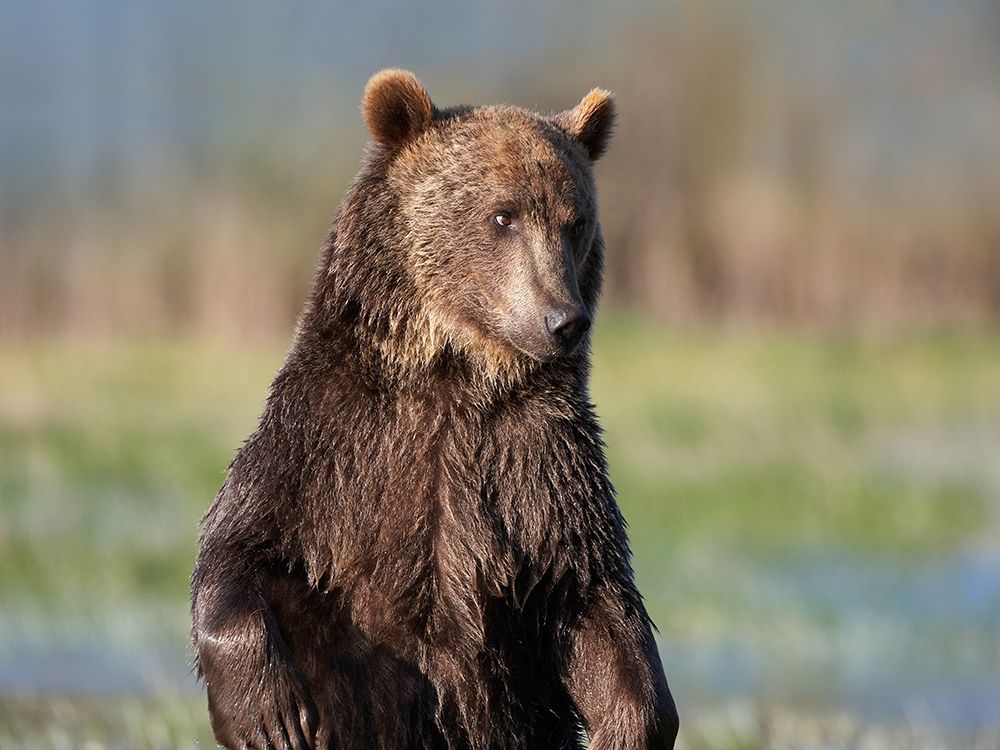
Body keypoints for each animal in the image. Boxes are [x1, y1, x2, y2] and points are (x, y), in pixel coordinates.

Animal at [191, 69, 678, 750]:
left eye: (575, 221)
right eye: (503, 215)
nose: (564, 319)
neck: (455, 376)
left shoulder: (540, 469)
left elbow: (593, 596)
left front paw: (628, 723)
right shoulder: (329, 443)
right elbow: (240, 546)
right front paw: (271, 713)